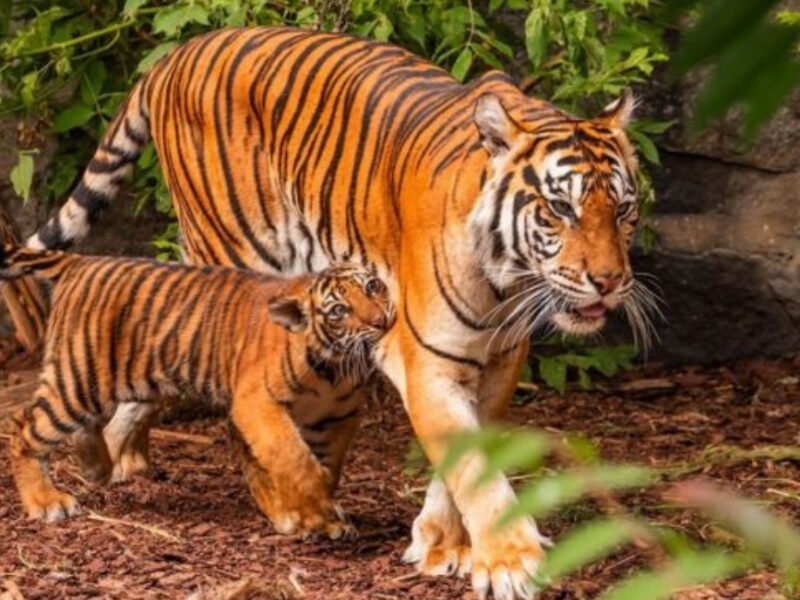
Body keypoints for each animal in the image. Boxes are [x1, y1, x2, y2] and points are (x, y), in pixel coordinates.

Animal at [1, 243, 394, 538]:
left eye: (373, 286)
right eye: (339, 311)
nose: (381, 322)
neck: (333, 368)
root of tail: (81, 261)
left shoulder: (338, 417)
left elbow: (327, 468)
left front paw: (321, 516)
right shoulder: (256, 404)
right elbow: (292, 457)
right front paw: (306, 514)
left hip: (116, 383)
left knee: (90, 426)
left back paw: (96, 469)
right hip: (78, 380)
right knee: (24, 427)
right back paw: (46, 502)